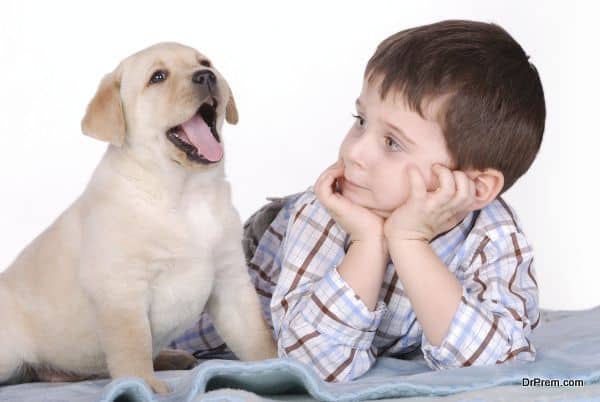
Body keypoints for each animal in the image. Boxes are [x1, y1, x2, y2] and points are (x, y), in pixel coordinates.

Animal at [0, 43, 276, 392]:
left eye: (205, 62)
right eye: (158, 77)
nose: (206, 76)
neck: (185, 192)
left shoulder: (230, 282)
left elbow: (254, 334)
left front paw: (277, 362)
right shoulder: (122, 290)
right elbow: (133, 343)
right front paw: (143, 383)